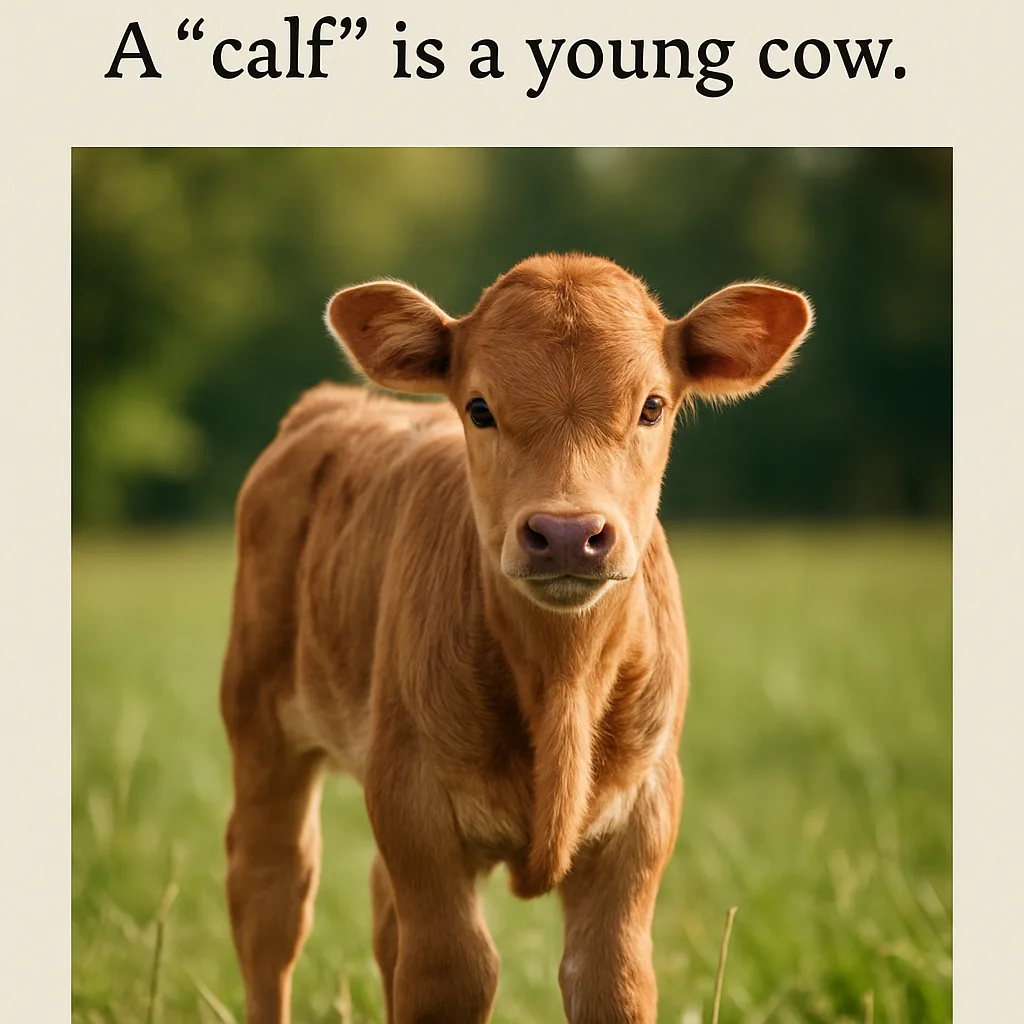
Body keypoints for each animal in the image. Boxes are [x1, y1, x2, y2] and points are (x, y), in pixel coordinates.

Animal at [220, 252, 812, 1023]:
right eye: (481, 408)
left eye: (652, 406)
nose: (566, 532)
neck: (561, 681)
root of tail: (331, 405)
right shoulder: (413, 802)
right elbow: (453, 974)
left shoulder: (644, 809)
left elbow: (612, 981)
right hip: (260, 724)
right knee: (271, 900)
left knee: (381, 920)